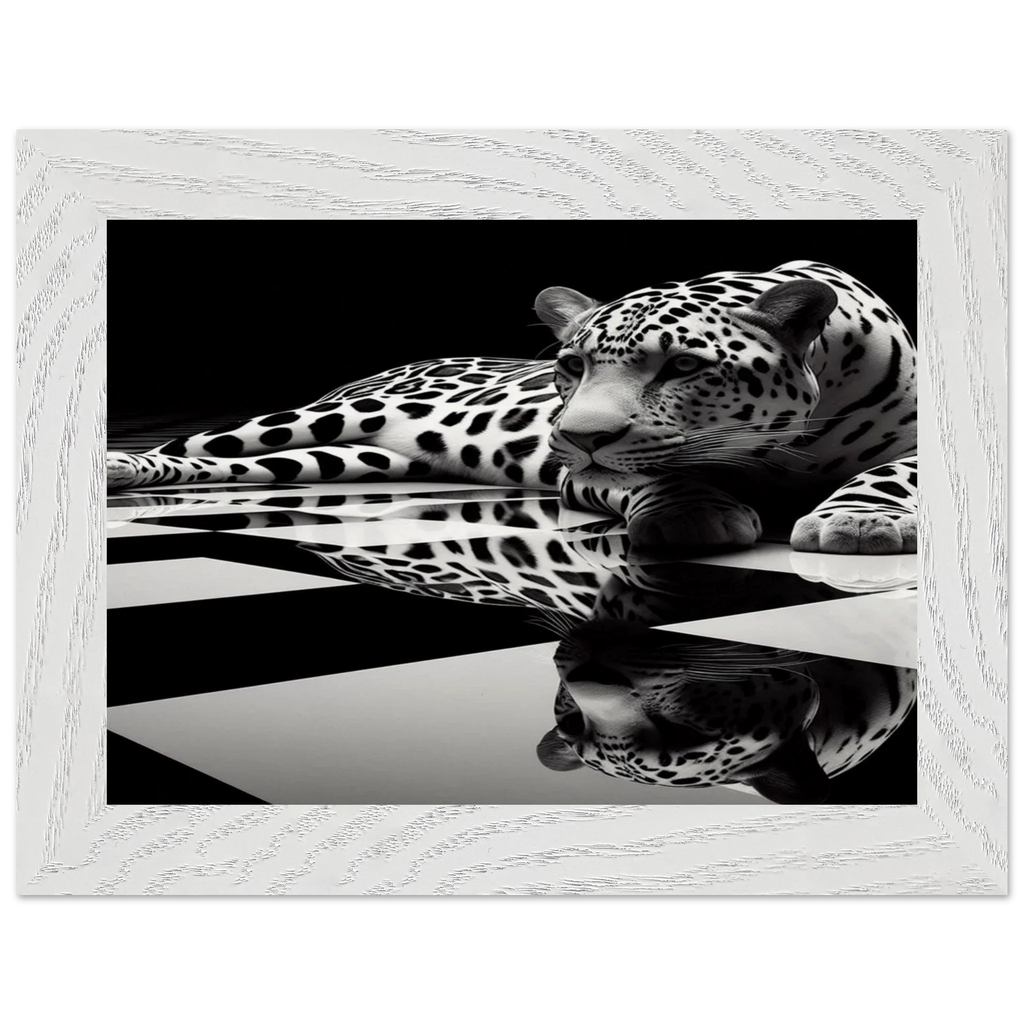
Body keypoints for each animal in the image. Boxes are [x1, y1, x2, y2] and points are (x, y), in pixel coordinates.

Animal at [106, 260, 917, 555]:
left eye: (684, 366)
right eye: (571, 366)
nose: (576, 435)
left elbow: (892, 473)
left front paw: (859, 521)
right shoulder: (583, 474)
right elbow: (653, 473)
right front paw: (693, 512)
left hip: (343, 457)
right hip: (316, 420)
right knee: (194, 445)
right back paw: (122, 467)